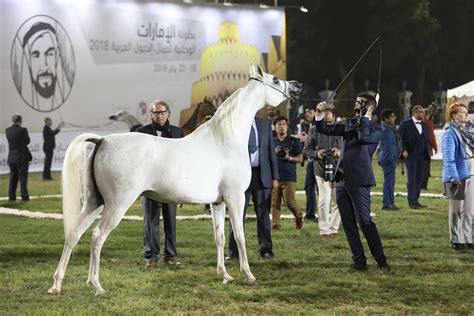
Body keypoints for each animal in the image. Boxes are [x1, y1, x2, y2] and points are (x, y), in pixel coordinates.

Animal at [48, 64, 300, 296]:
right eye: (275, 80)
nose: (297, 86)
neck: (223, 139)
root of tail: (102, 141)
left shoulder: (217, 203)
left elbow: (219, 237)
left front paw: (225, 275)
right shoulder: (235, 198)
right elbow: (239, 236)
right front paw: (248, 275)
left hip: (94, 202)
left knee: (73, 234)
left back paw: (57, 284)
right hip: (116, 205)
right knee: (97, 236)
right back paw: (97, 285)